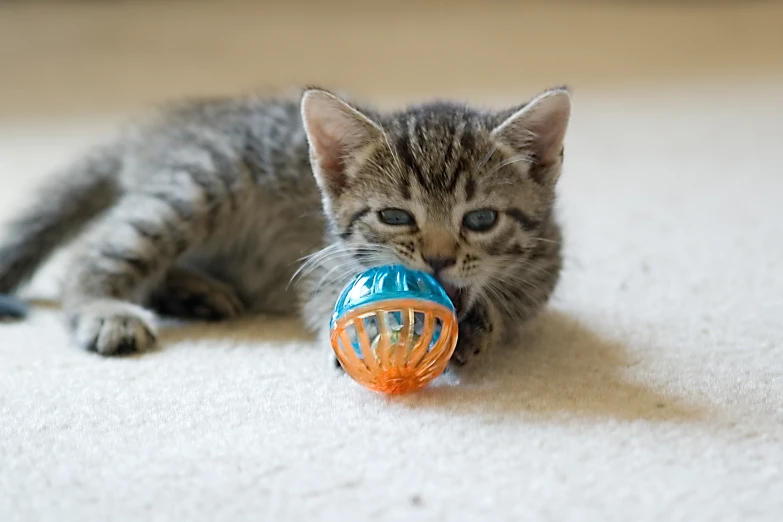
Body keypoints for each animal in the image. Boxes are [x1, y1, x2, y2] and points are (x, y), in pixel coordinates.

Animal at [0, 87, 568, 364]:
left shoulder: (547, 260)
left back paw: (194, 292)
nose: (439, 259)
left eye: (481, 219)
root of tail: (146, 138)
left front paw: (483, 322)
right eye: (395, 217)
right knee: (97, 252)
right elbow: (332, 302)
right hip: (201, 183)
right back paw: (104, 309)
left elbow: (514, 304)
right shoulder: (324, 263)